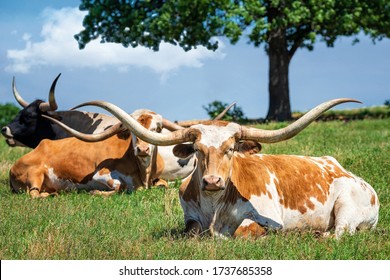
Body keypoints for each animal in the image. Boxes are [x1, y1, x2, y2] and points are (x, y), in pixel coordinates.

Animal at [77, 98, 380, 238]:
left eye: (231, 149)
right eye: (198, 150)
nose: (212, 182)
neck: (214, 207)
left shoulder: (270, 220)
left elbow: (240, 232)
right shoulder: (190, 219)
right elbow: (192, 230)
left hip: (347, 208)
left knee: (339, 233)